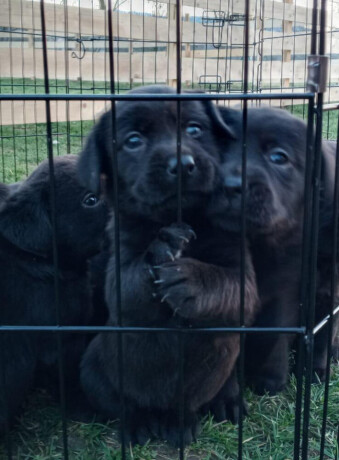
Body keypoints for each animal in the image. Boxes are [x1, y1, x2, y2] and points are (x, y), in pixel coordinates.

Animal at [77, 85, 258, 446]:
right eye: (133, 140)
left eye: (194, 129)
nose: (183, 165)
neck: (182, 215)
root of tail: (164, 414)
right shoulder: (120, 260)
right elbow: (128, 284)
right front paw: (165, 246)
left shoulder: (239, 265)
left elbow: (234, 287)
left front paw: (191, 280)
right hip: (94, 368)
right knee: (123, 404)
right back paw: (138, 424)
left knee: (200, 396)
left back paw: (205, 411)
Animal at [212, 106, 338, 394]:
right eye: (221, 150)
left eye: (278, 157)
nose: (230, 184)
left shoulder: (321, 296)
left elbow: (318, 336)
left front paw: (313, 372)